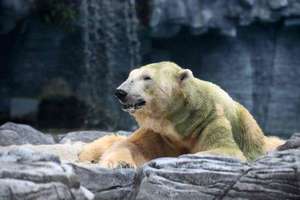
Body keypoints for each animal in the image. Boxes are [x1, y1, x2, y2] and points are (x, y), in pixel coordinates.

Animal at [78, 61, 284, 168]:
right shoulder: (159, 131)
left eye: (146, 77)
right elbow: (129, 145)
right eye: (129, 77)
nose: (120, 92)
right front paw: (121, 163)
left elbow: (226, 150)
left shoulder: (211, 120)